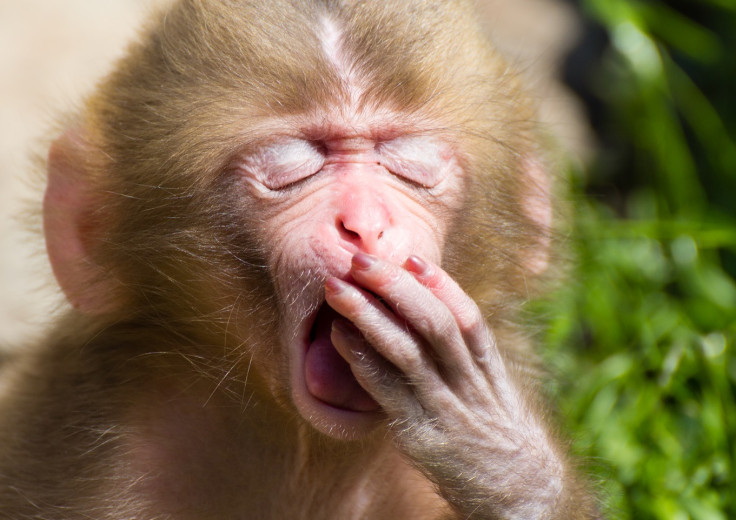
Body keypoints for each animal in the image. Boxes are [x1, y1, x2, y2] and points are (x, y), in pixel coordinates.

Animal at [0, 0, 600, 516]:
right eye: (292, 168)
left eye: (410, 165)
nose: (364, 223)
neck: (308, 446)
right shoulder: (103, 446)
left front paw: (495, 448)